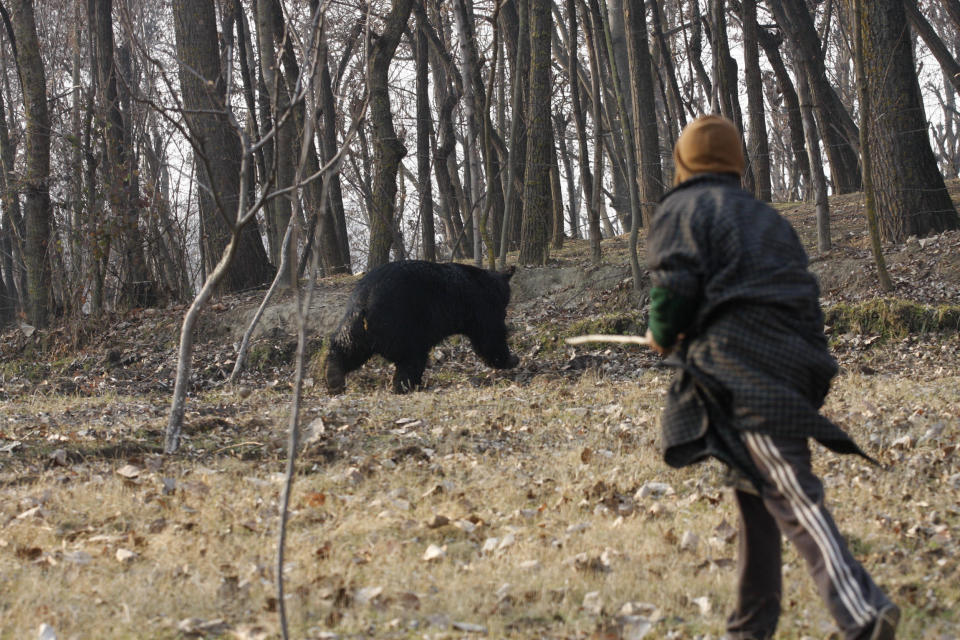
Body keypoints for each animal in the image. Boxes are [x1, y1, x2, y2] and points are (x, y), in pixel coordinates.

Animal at [322, 262, 516, 392]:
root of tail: (365, 302)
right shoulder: (481, 306)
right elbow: (490, 335)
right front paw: (511, 360)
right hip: (405, 325)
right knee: (412, 359)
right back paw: (406, 385)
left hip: (356, 328)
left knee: (347, 349)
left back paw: (334, 379)